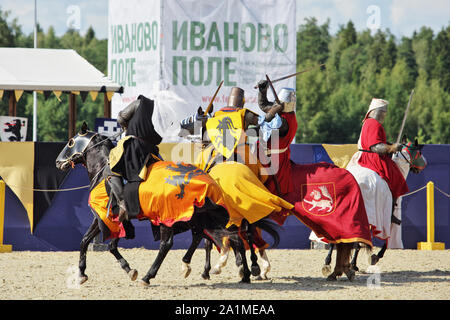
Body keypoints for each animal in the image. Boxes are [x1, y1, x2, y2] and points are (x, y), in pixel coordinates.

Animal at [54, 122, 255, 284]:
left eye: (70, 142)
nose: (57, 162)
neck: (103, 171)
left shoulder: (104, 217)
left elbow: (90, 242)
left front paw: (86, 273)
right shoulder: (118, 219)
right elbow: (98, 243)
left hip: (169, 218)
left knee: (168, 244)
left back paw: (148, 276)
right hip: (200, 216)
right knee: (228, 236)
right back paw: (242, 273)